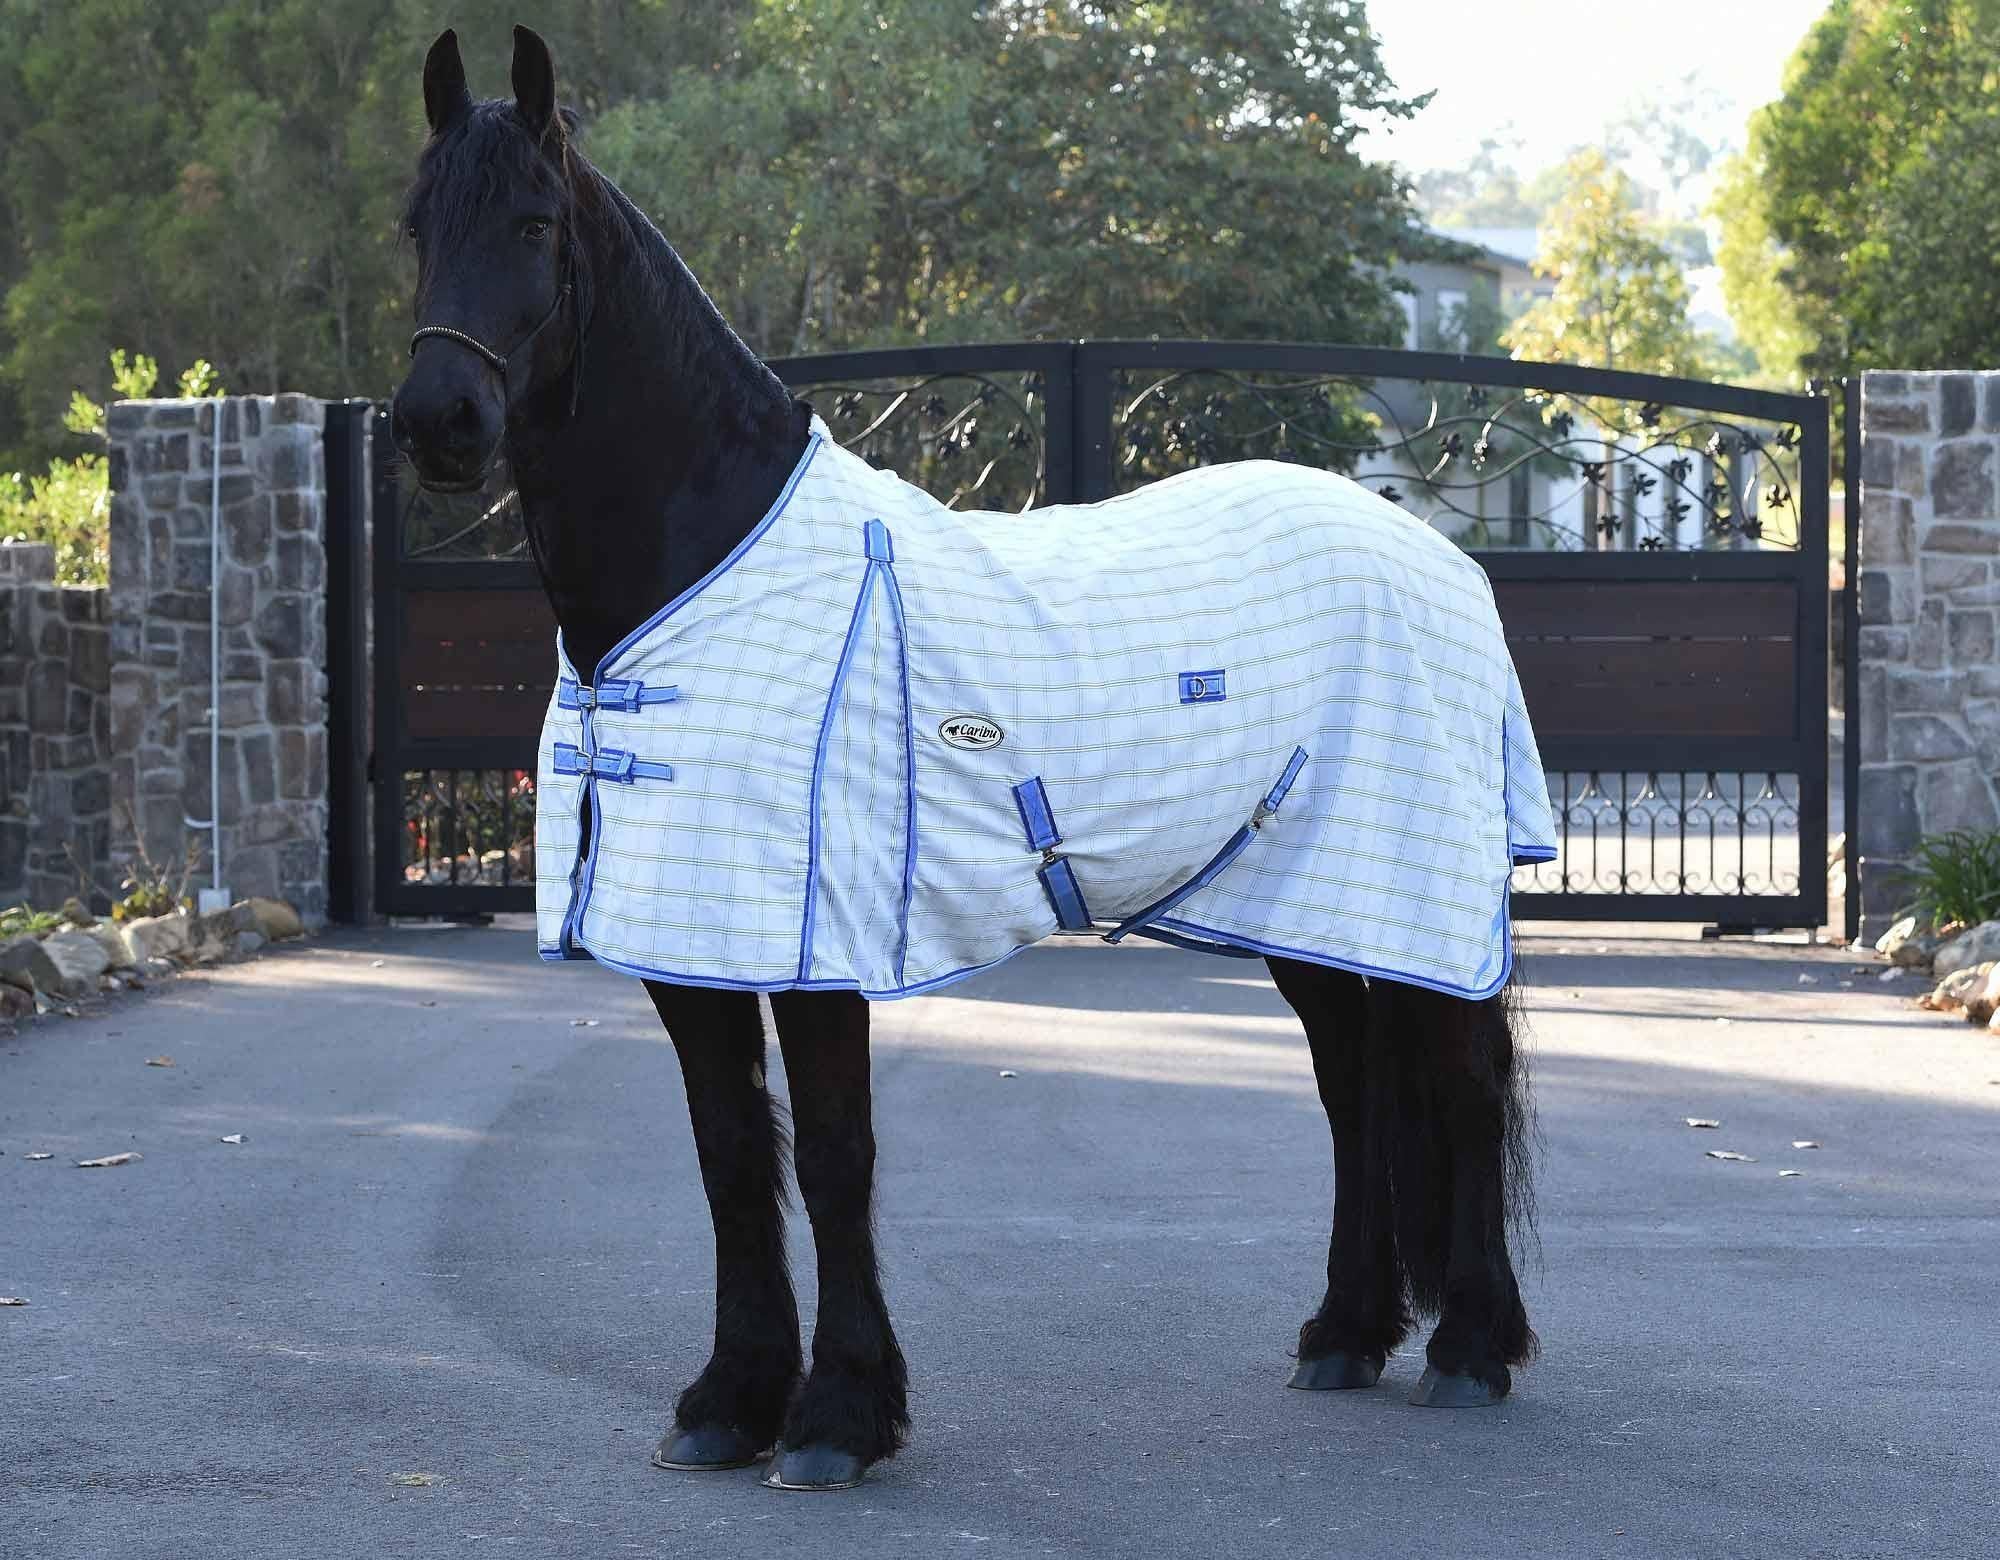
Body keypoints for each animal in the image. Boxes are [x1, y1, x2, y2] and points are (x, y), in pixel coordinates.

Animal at [390, 26, 1540, 1493]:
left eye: (535, 224)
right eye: (416, 226)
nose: (437, 421)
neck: (704, 562)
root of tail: (1434, 550)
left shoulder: (816, 944)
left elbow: (833, 1157)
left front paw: (837, 1417)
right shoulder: (692, 948)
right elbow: (729, 1155)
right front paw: (728, 1402)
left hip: (1414, 893)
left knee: (1459, 1082)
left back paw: (1472, 1351)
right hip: (1310, 902)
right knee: (1352, 1089)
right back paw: (1343, 1335)